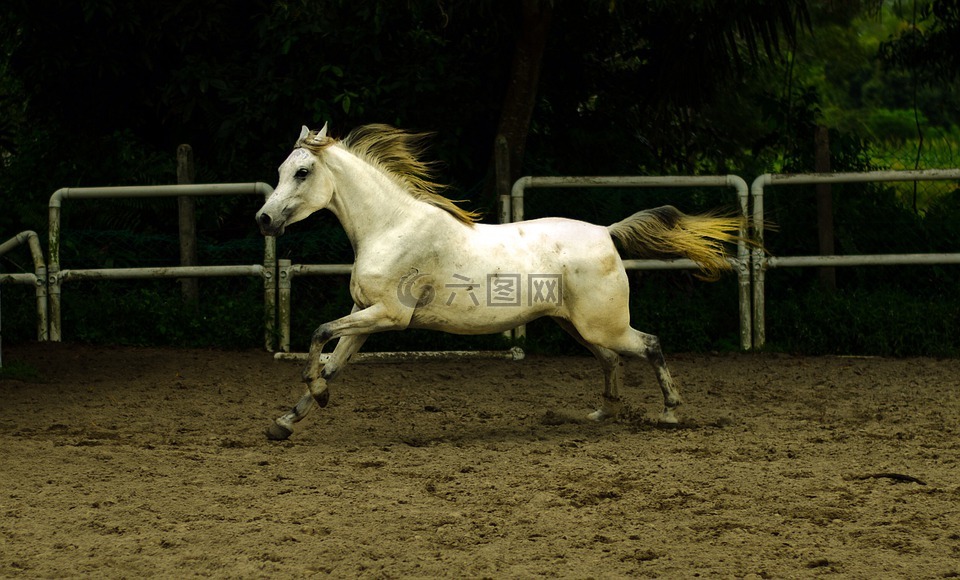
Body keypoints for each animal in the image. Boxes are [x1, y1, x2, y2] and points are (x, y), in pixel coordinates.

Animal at [255, 123, 744, 440]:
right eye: (279, 170)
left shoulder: (388, 316)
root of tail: (607, 232)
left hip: (604, 325)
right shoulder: (364, 315)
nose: (263, 219)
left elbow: (319, 337)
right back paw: (599, 414)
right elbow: (331, 362)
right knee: (611, 360)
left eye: (302, 172)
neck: (391, 226)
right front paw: (285, 422)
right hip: (577, 325)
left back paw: (670, 415)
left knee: (649, 345)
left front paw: (313, 398)